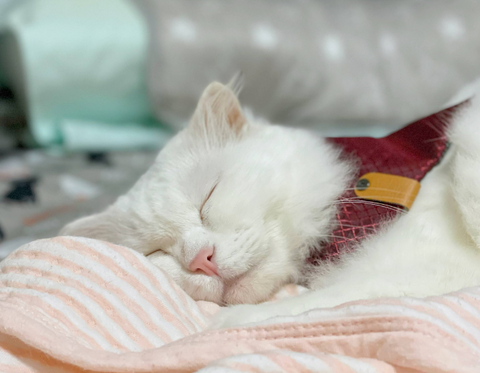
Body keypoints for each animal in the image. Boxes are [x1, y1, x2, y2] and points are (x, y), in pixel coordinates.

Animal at [61, 81, 480, 328]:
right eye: (156, 252)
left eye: (207, 198)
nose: (200, 259)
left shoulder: (420, 275)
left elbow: (301, 310)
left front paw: (209, 329)